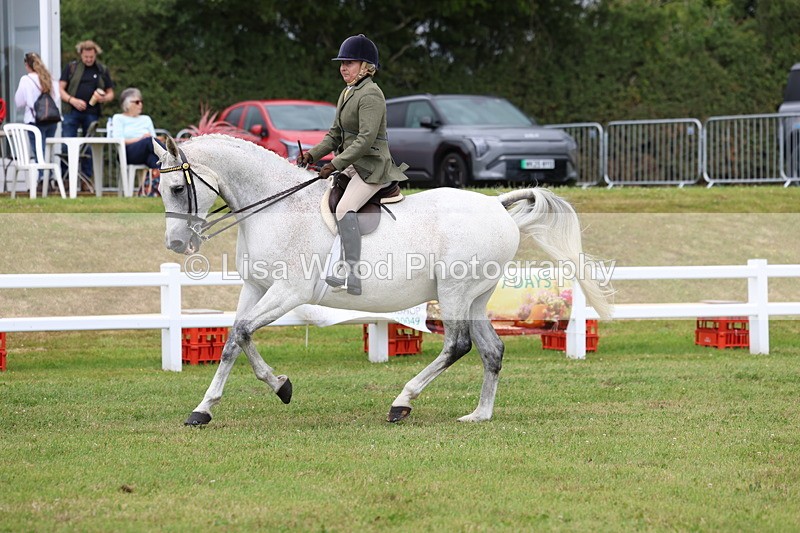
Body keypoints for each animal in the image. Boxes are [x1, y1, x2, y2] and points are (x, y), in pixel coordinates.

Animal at [153, 134, 612, 426]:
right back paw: (479, 414)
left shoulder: (289, 292)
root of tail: (496, 205)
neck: (276, 208)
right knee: (491, 350)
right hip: (476, 298)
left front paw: (270, 388)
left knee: (458, 344)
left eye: (176, 187)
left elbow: (242, 333)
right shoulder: (257, 288)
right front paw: (216, 405)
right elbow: (235, 338)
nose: (176, 243)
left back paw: (402, 403)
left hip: (454, 291)